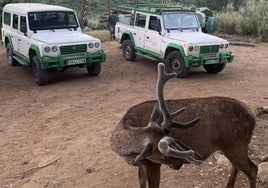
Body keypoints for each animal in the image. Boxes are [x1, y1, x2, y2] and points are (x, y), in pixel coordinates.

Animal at [109, 62, 258, 187]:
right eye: (162, 154)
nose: (179, 164)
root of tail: (252, 115)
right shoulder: (143, 164)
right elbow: (141, 183)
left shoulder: (152, 164)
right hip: (231, 147)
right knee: (236, 166)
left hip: (236, 145)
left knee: (253, 169)